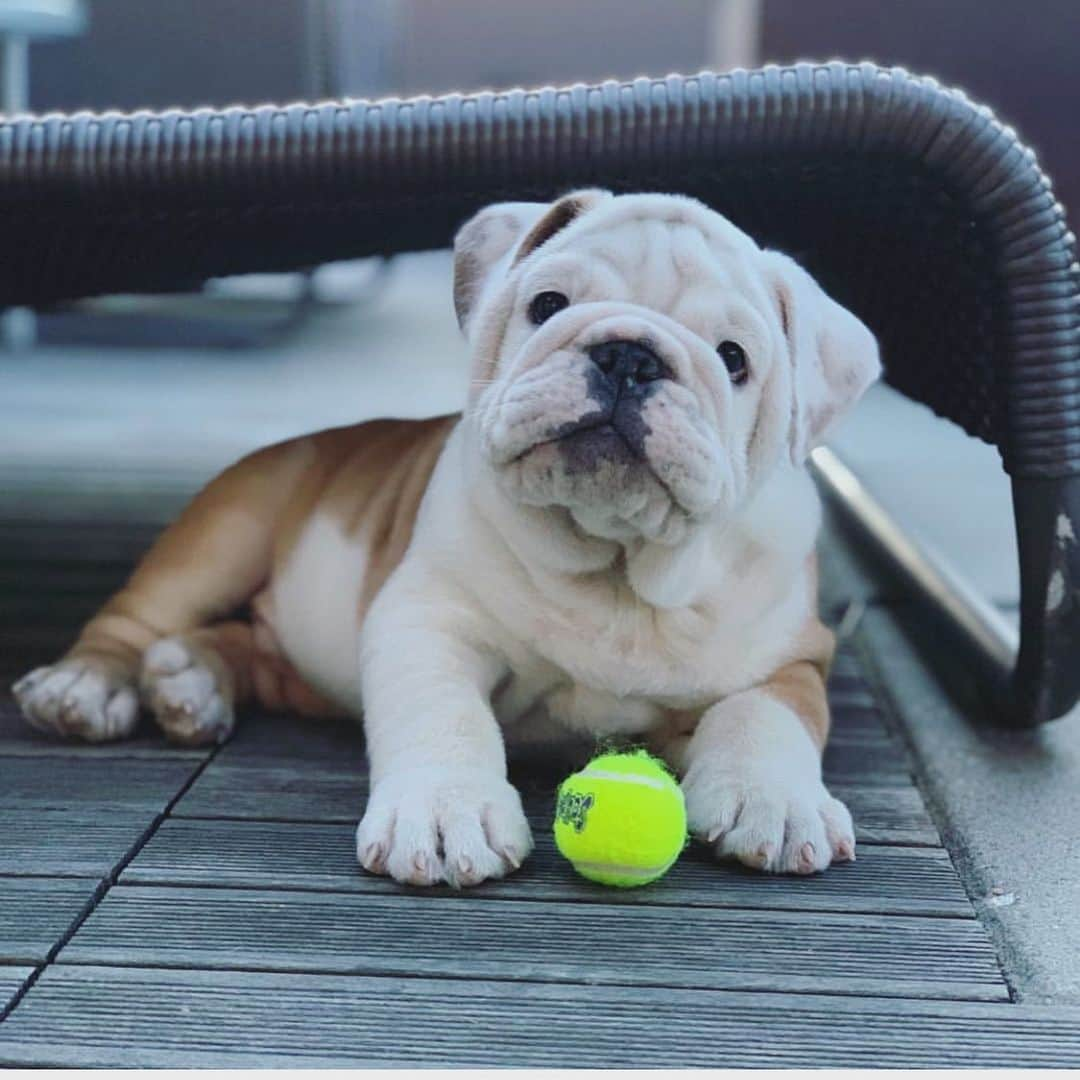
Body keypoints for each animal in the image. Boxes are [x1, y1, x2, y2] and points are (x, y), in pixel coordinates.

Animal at [14, 192, 876, 885]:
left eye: (734, 359)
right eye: (548, 303)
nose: (628, 355)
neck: (616, 566)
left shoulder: (792, 654)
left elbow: (769, 716)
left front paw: (776, 800)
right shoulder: (428, 621)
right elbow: (443, 714)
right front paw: (443, 812)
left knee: (251, 648)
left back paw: (190, 682)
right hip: (229, 526)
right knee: (137, 619)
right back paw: (87, 688)